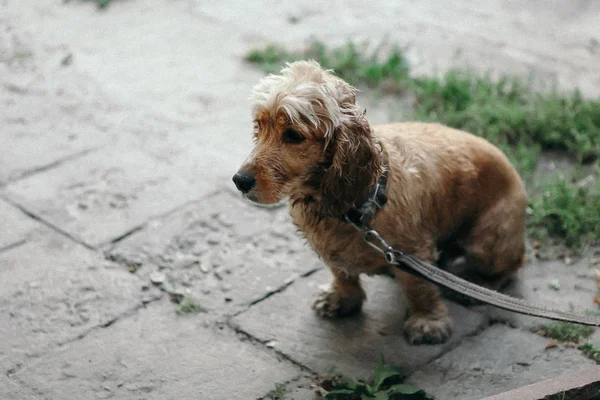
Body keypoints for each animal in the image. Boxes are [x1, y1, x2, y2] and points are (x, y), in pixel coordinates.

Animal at [232, 60, 524, 344]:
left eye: (293, 135)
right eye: (259, 126)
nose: (239, 181)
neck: (358, 207)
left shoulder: (413, 251)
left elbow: (420, 289)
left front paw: (428, 322)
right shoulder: (331, 249)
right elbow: (342, 272)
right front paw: (341, 299)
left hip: (486, 244)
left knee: (511, 266)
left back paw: (476, 285)